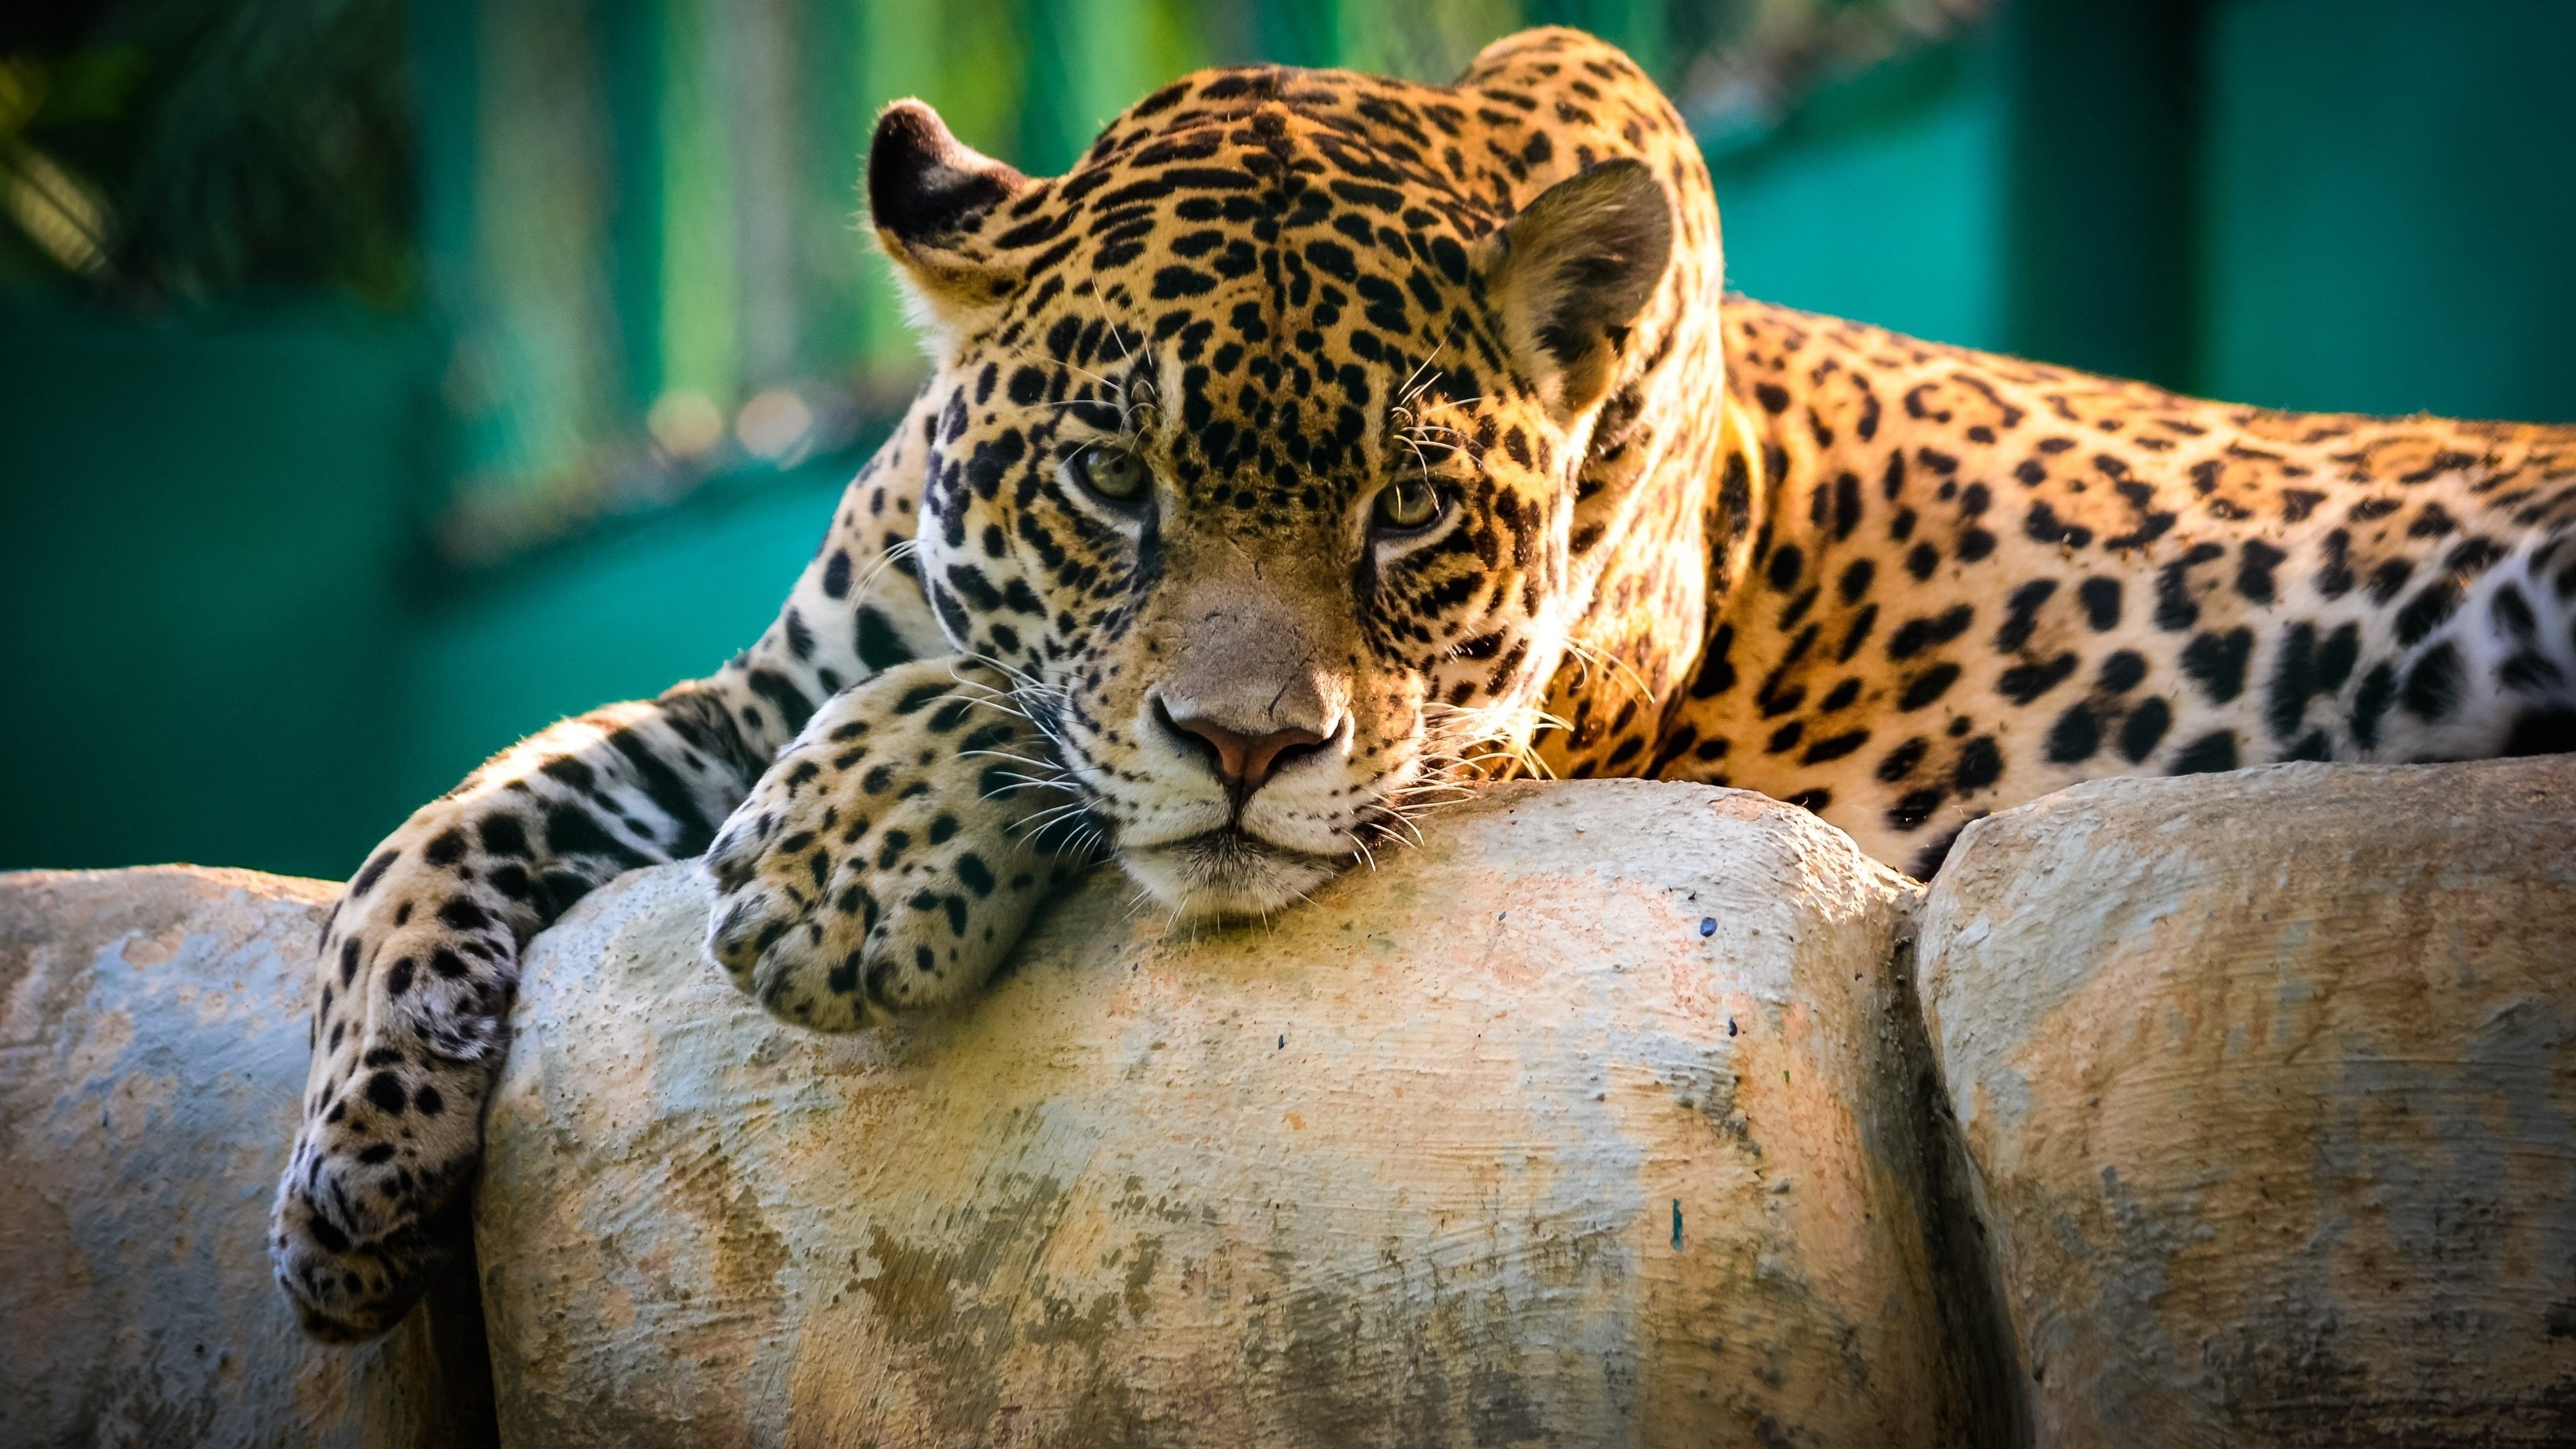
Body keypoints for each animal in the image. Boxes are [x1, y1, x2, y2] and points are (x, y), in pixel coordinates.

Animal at [272, 25, 2576, 1341]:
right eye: (1109, 478)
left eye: (1405, 514)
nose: (1248, 747)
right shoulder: (749, 696)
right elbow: (447, 820)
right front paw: (353, 1174)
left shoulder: (1516, 727)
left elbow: (1033, 730)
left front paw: (845, 866)